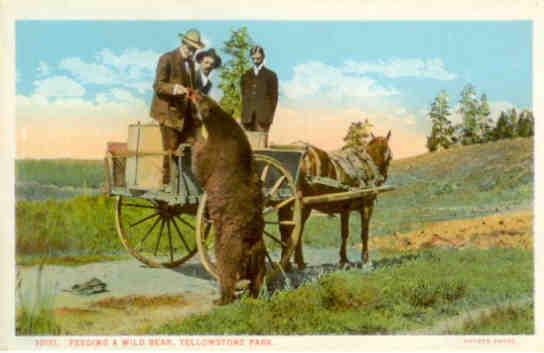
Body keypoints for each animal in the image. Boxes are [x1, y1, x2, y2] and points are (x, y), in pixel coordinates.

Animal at [188, 89, 266, 304]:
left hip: (228, 243)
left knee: (227, 270)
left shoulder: (216, 152)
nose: (193, 91)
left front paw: (192, 137)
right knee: (258, 275)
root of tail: (249, 244)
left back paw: (222, 298)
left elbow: (200, 164)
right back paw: (254, 294)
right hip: (259, 253)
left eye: (201, 97)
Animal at [278, 131, 394, 268]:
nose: (382, 178)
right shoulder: (367, 206)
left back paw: (290, 262)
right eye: (390, 157)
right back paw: (294, 262)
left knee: (288, 228)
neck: (366, 165)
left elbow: (344, 233)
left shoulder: (345, 209)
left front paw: (344, 259)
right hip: (300, 205)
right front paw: (365, 260)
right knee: (295, 230)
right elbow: (364, 233)